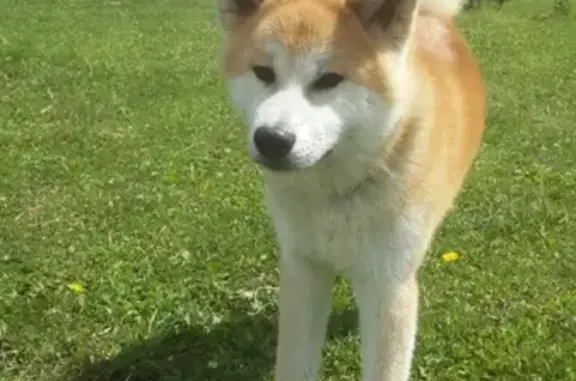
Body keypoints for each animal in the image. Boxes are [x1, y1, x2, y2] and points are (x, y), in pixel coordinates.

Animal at [213, 0, 486, 378]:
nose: (271, 140)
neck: (336, 193)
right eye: (263, 73)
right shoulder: (303, 268)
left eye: (329, 79)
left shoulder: (388, 284)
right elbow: (294, 363)